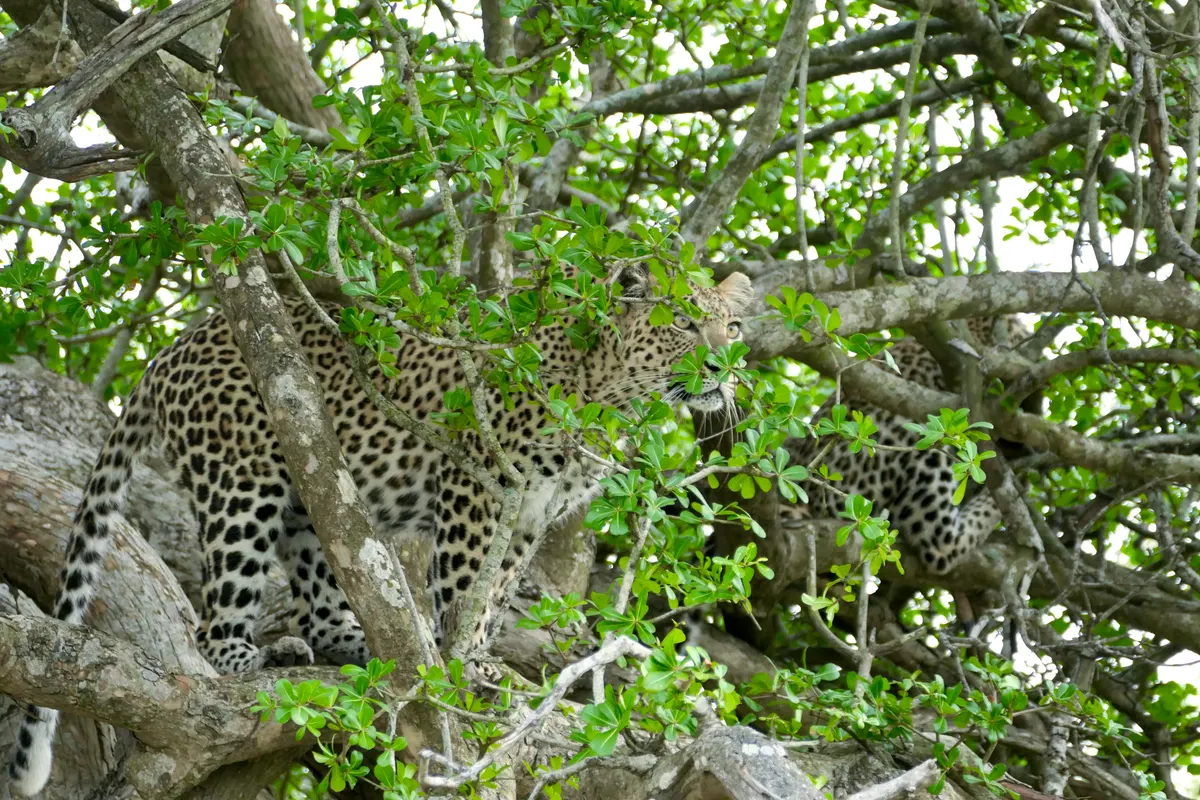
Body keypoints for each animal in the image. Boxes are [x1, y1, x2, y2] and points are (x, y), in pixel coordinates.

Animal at [8, 266, 754, 797]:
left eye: (735, 327)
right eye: (686, 326)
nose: (724, 368)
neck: (608, 389)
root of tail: (169, 351)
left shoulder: (529, 515)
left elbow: (497, 592)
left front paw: (482, 662)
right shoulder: (481, 486)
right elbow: (465, 586)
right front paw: (465, 664)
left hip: (313, 487)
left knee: (318, 571)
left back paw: (348, 644)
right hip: (241, 486)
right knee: (212, 624)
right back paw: (249, 655)